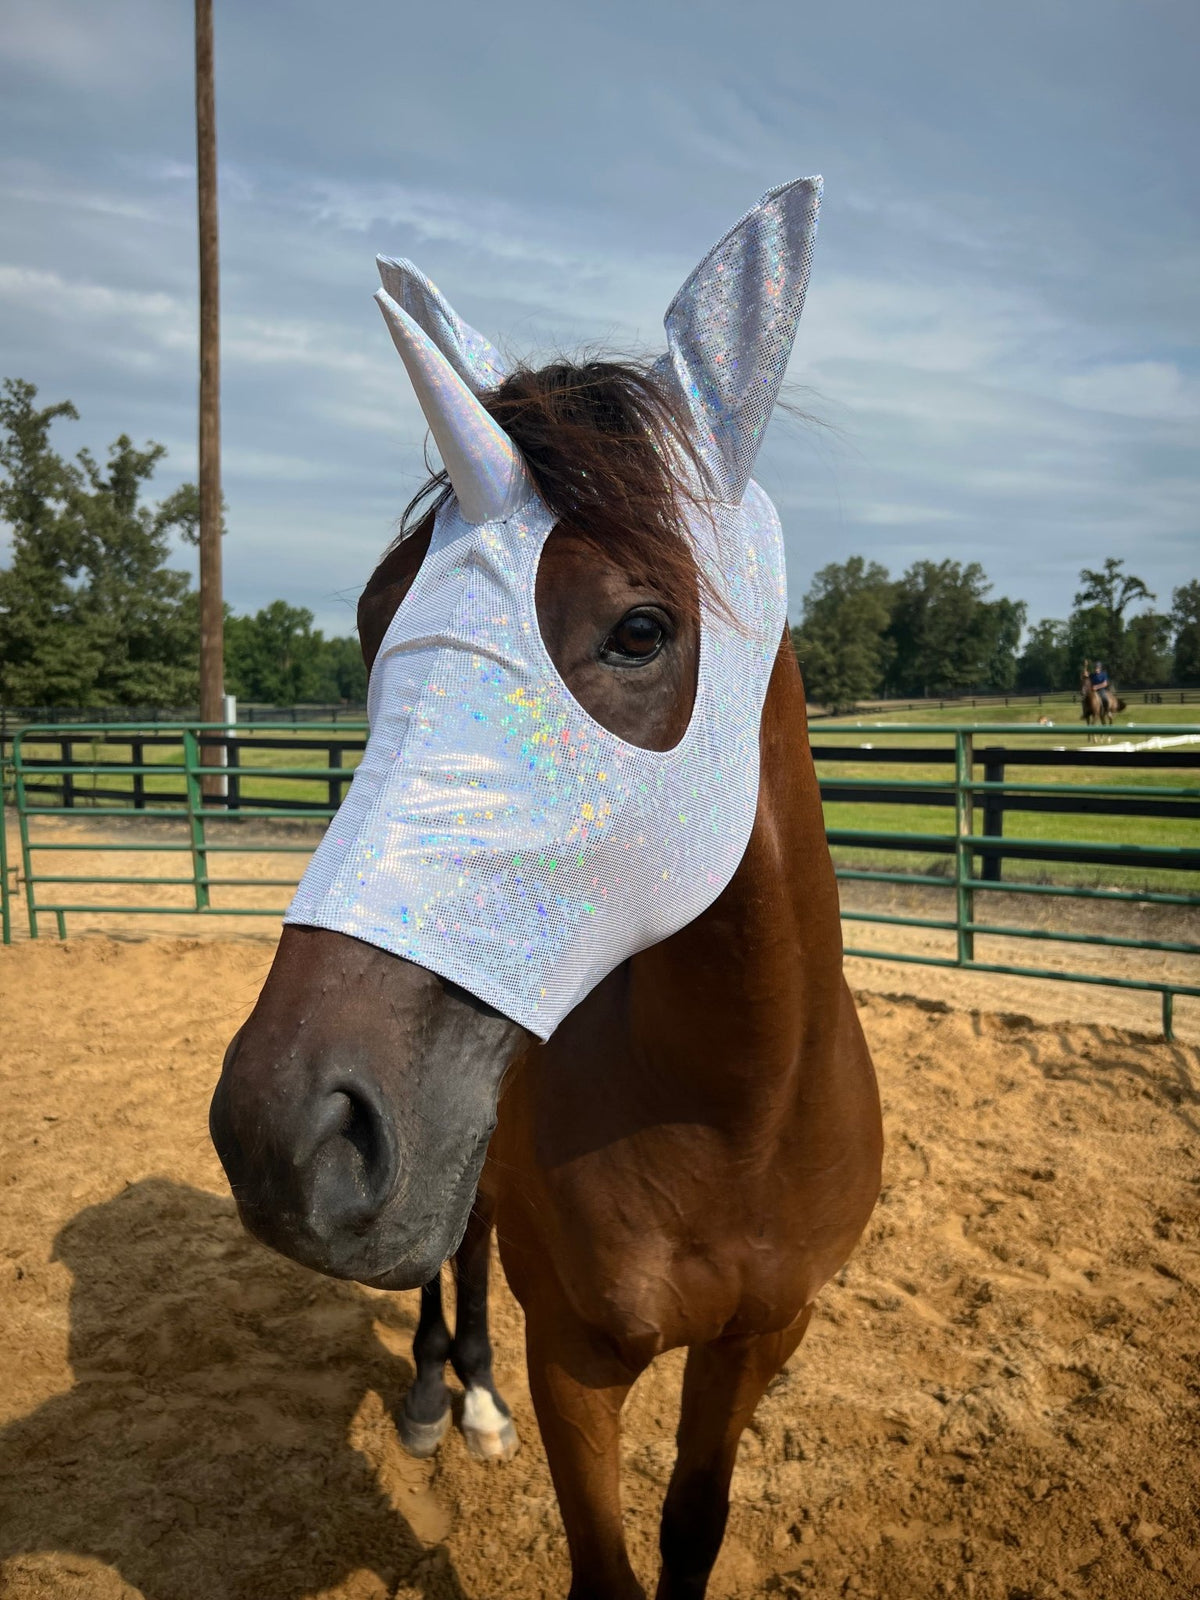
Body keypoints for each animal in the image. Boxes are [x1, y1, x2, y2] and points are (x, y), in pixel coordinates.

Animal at [210, 178, 883, 1600]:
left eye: (641, 629)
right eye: (371, 621)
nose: (280, 1126)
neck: (737, 1114)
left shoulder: (755, 1346)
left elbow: (691, 1533)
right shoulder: (577, 1358)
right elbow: (604, 1569)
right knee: (452, 1251)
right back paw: (443, 1395)